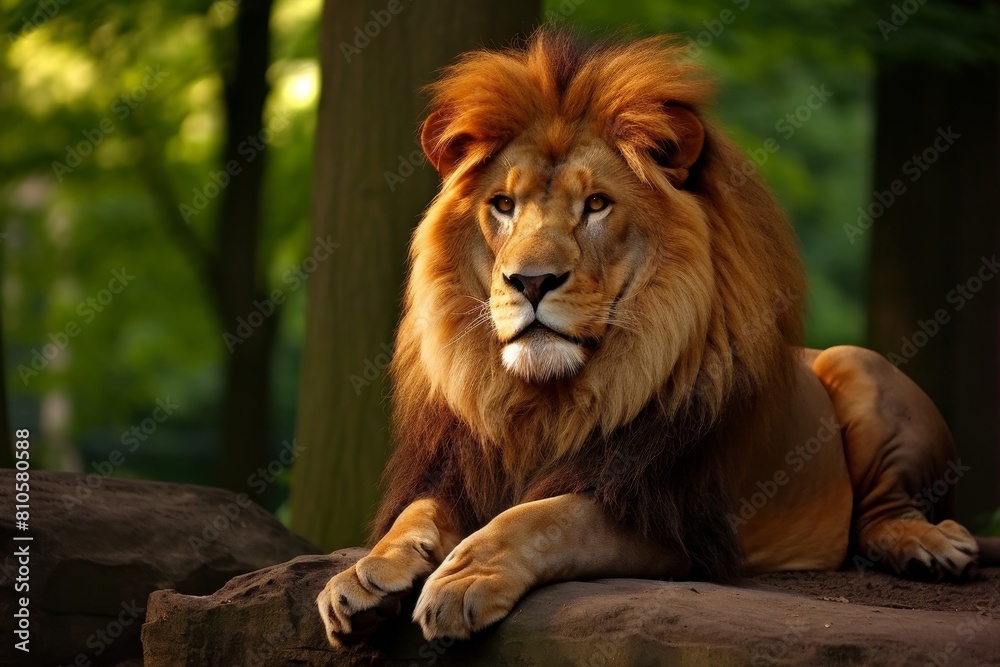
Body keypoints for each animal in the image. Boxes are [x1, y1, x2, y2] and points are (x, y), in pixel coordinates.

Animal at [317, 29, 998, 644]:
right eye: (504, 205)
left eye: (596, 204)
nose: (530, 281)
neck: (544, 401)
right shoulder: (459, 470)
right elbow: (418, 514)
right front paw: (366, 572)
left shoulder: (668, 514)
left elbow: (539, 518)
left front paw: (462, 581)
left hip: (861, 368)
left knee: (886, 514)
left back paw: (930, 547)